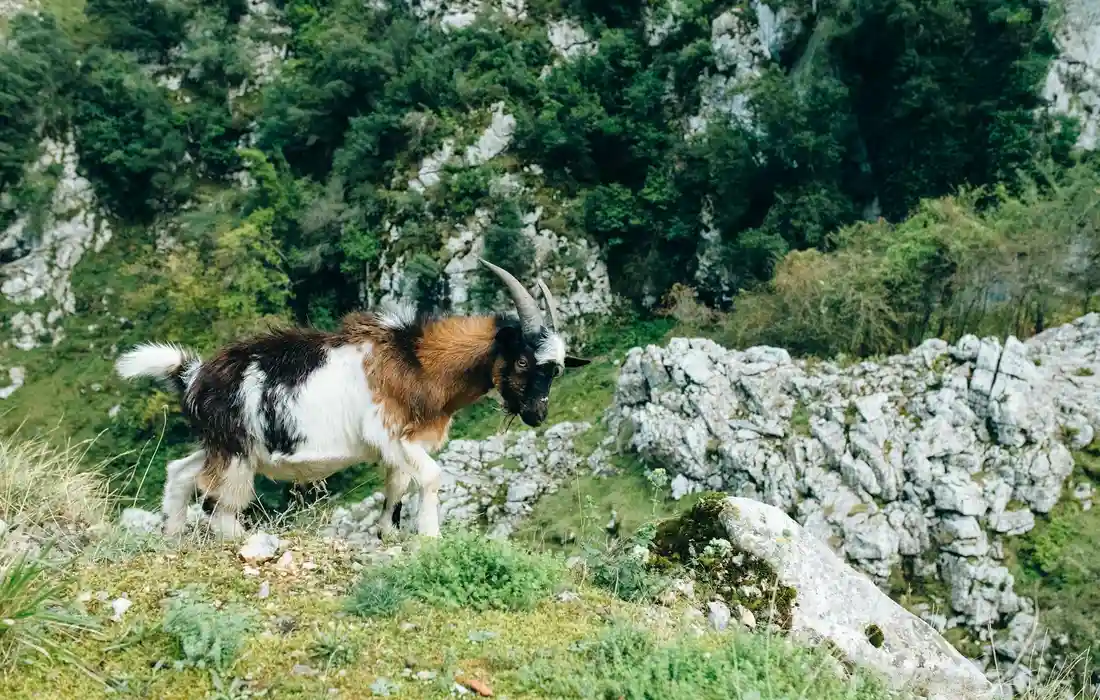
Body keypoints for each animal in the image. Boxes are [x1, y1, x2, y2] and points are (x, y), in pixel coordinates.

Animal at [115, 259, 590, 540]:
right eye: (525, 361)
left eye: (557, 369)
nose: (537, 413)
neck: (416, 359)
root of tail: (192, 375)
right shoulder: (393, 434)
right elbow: (431, 477)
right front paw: (430, 538)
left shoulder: (398, 445)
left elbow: (397, 485)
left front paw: (388, 533)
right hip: (234, 452)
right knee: (220, 507)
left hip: (223, 446)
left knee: (180, 472)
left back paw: (173, 536)